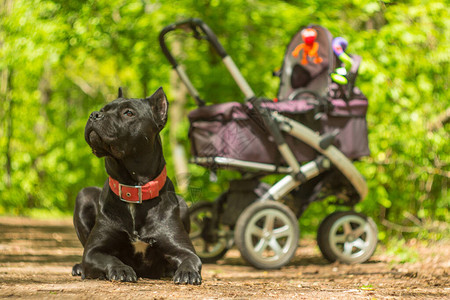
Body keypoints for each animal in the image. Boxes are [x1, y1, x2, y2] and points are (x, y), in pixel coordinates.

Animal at [72, 87, 202, 286]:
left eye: (128, 113)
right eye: (103, 109)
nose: (94, 114)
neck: (133, 189)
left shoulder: (184, 249)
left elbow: (191, 259)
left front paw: (187, 272)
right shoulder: (94, 251)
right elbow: (110, 258)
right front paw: (122, 269)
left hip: (184, 205)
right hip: (84, 195)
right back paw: (79, 267)